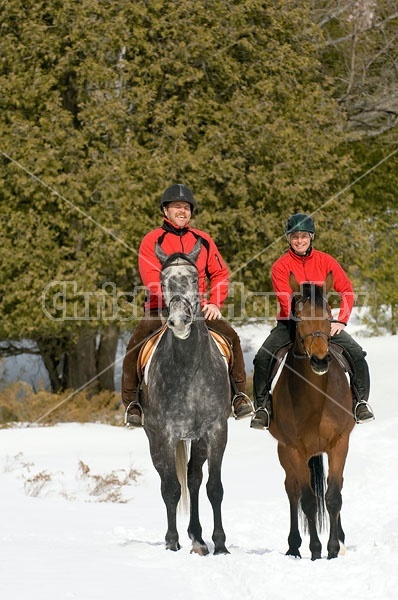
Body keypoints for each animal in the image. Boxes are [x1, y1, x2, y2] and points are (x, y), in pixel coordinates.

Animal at [270, 274, 354, 560]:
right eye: (298, 316)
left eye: (329, 314)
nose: (319, 360)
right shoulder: (295, 449)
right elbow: (308, 500)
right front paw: (316, 551)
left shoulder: (340, 443)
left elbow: (334, 496)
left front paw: (333, 549)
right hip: (284, 452)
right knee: (292, 490)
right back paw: (294, 546)